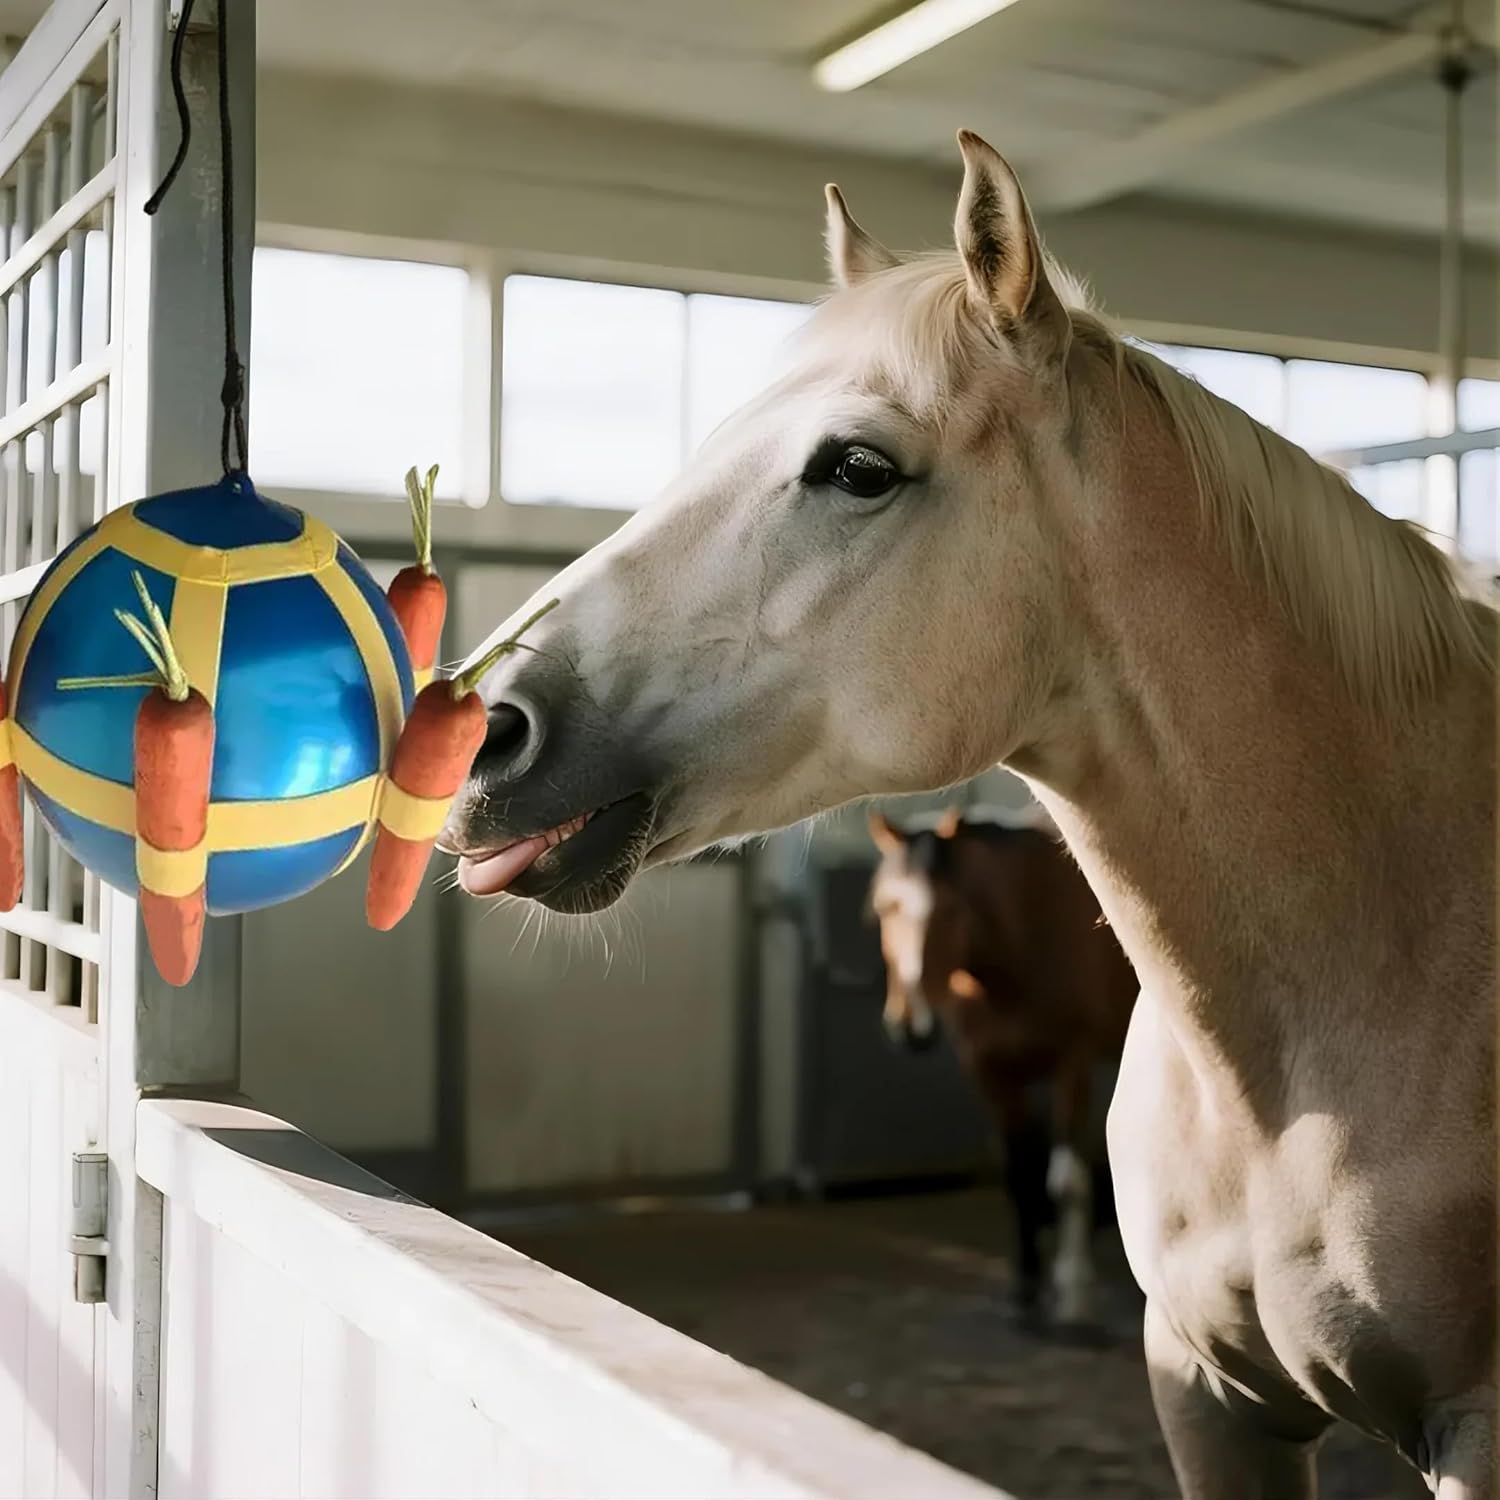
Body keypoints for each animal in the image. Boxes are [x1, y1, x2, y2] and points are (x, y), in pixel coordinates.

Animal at [867, 803, 1137, 1326]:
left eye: (951, 909)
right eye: (886, 907)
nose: (911, 1025)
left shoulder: (1072, 1065)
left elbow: (1065, 1180)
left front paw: (1073, 1291)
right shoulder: (991, 1075)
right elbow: (1018, 1175)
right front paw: (1025, 1287)